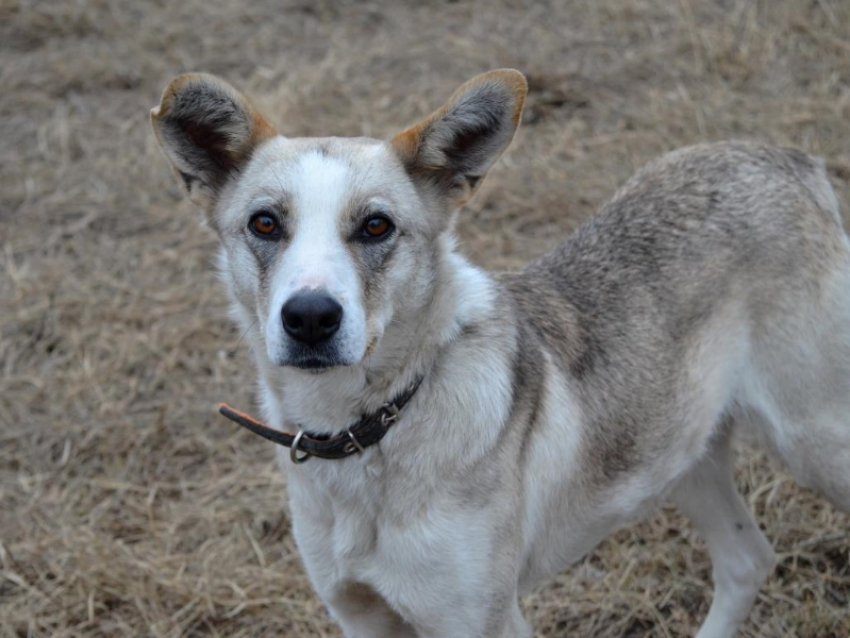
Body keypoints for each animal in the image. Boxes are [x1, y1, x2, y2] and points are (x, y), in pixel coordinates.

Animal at [151, 70, 848, 638]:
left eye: (376, 226)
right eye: (265, 224)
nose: (312, 318)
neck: (369, 429)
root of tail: (790, 159)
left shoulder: (480, 623)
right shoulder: (361, 616)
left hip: (812, 443)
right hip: (679, 450)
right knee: (747, 560)